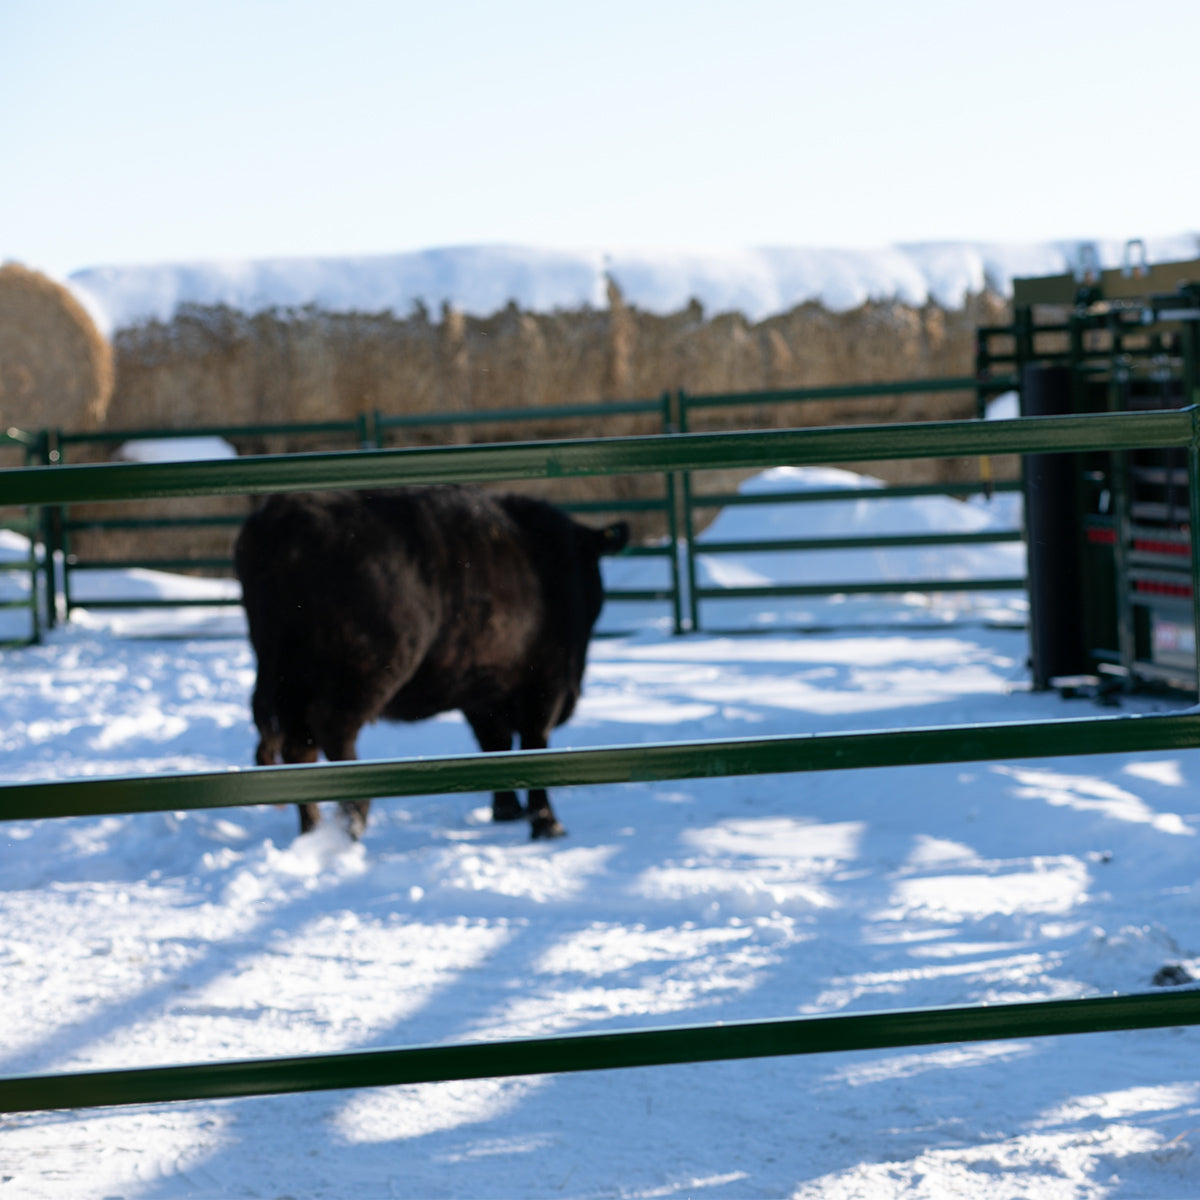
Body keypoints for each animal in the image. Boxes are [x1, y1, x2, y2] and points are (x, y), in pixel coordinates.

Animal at [234, 485, 629, 841]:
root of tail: (284, 512)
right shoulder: (546, 682)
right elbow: (534, 744)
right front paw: (546, 822)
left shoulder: (481, 688)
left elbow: (495, 742)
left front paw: (506, 810)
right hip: (361, 670)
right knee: (332, 729)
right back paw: (354, 819)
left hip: (288, 677)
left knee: (298, 745)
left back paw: (313, 828)